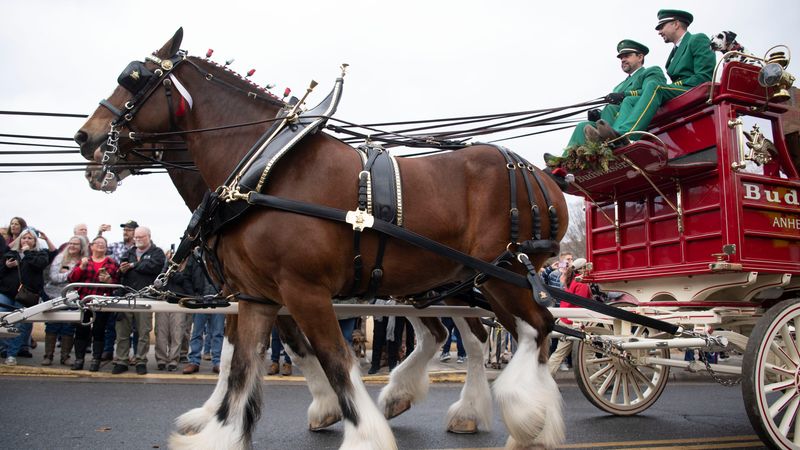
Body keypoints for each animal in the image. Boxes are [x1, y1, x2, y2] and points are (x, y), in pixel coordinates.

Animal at [75, 29, 568, 450]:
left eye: (131, 79)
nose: (86, 138)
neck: (263, 172)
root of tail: (542, 176)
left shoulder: (303, 289)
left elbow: (334, 360)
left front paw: (360, 430)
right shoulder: (254, 294)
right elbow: (241, 364)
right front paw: (220, 428)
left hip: (501, 274)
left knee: (531, 330)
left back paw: (523, 417)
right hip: (461, 282)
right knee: (497, 333)